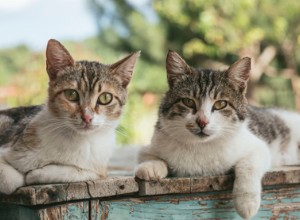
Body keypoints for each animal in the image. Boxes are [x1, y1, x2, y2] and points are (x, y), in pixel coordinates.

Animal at [0, 39, 141, 194]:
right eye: (71, 94)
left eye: (105, 98)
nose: (87, 117)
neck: (76, 140)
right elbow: (11, 179)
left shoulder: (99, 169)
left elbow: (80, 171)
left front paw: (36, 173)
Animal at [135, 50, 300, 220]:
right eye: (188, 102)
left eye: (221, 104)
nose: (202, 121)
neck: (201, 147)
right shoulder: (154, 142)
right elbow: (148, 155)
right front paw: (150, 167)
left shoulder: (259, 147)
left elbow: (247, 165)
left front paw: (247, 201)